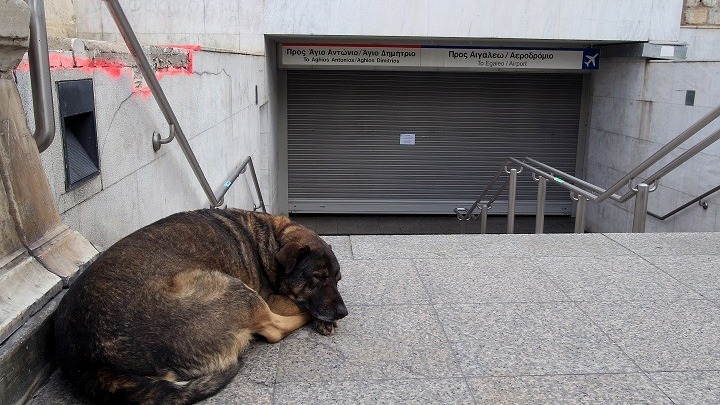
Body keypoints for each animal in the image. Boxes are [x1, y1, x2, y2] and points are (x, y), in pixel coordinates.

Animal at [54, 208, 348, 404]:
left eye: (337, 279)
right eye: (317, 278)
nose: (343, 313)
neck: (271, 238)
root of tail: (90, 364)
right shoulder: (272, 297)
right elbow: (298, 306)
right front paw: (320, 318)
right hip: (233, 289)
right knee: (274, 329)